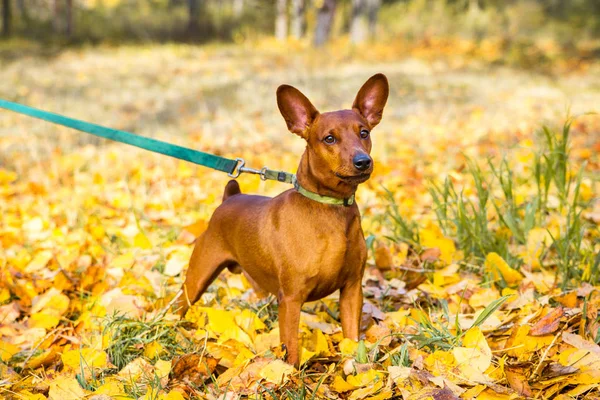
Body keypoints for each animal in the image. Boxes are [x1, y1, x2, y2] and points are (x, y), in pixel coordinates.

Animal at [177, 72, 390, 366]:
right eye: (329, 139)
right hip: (197, 279)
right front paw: (290, 374)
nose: (363, 161)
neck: (329, 209)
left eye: (364, 133)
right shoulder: (290, 300)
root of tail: (230, 198)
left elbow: (351, 338)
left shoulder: (351, 291)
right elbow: (291, 350)